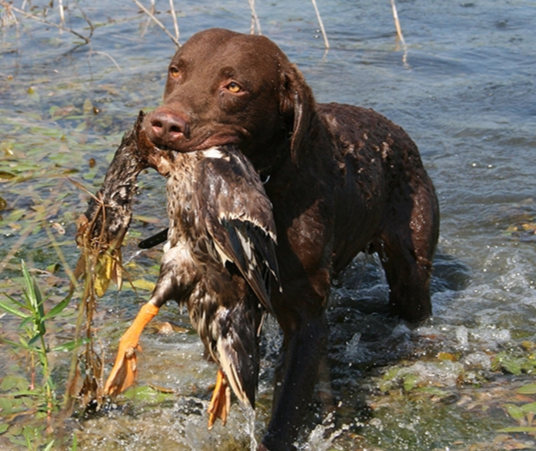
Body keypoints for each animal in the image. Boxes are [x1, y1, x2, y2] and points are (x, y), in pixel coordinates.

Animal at [141, 29, 436, 451]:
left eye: (234, 86)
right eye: (175, 70)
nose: (164, 124)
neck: (269, 180)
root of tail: (400, 136)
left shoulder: (305, 319)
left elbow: (286, 411)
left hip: (411, 271)